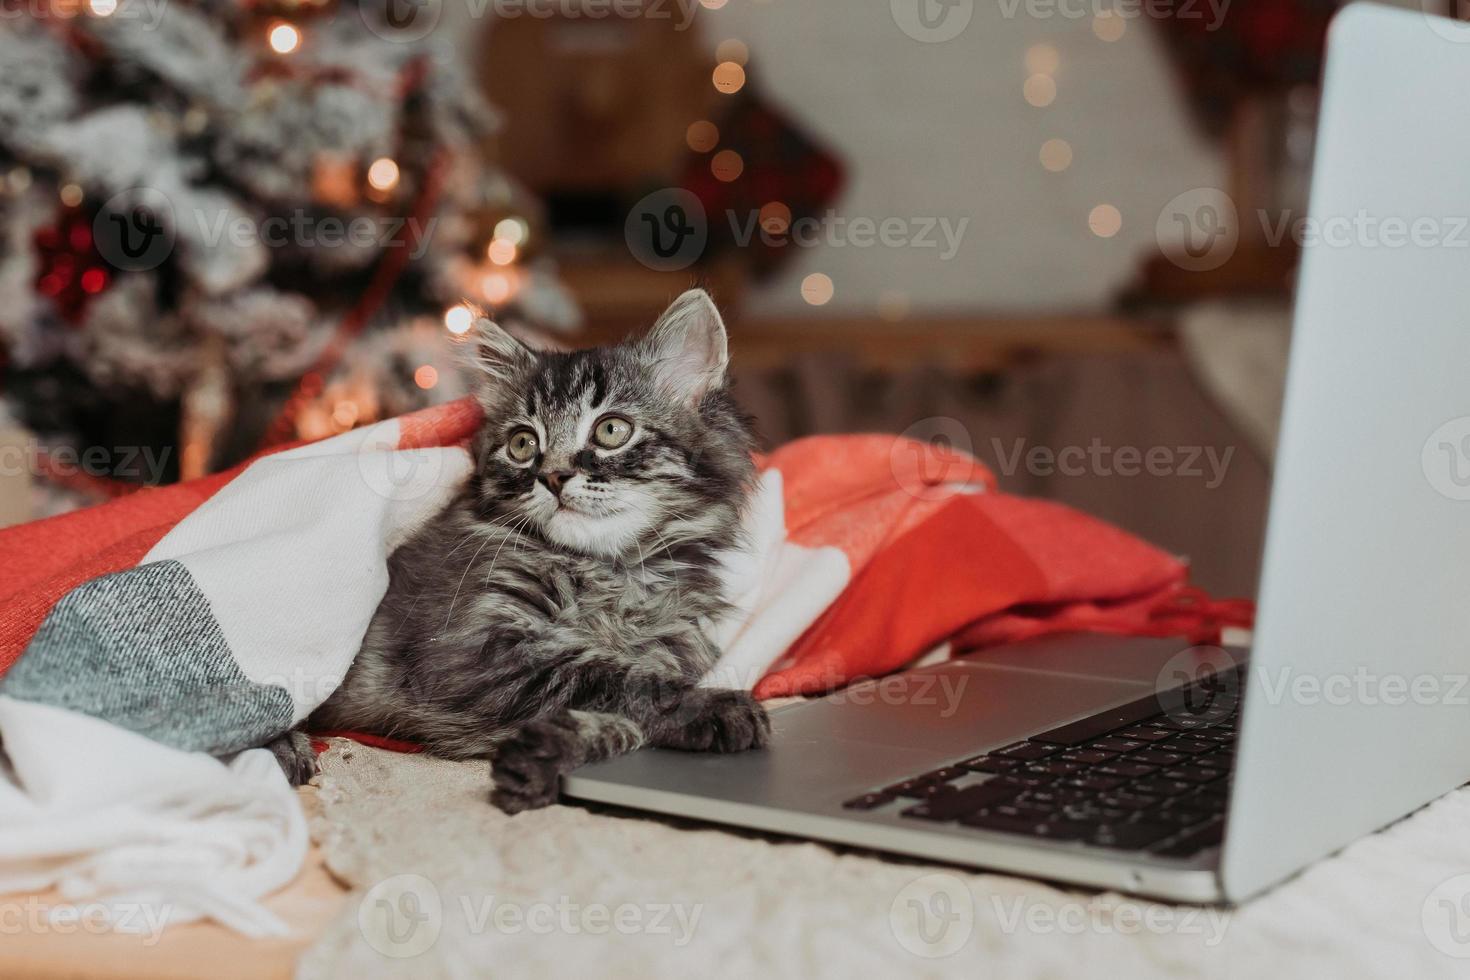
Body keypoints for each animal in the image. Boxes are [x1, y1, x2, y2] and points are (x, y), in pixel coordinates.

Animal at [280, 289, 776, 811]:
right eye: (523, 443)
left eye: (611, 430)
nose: (553, 476)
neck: (616, 571)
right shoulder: (475, 653)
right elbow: (617, 681)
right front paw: (714, 704)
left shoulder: (670, 644)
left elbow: (625, 709)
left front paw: (544, 757)